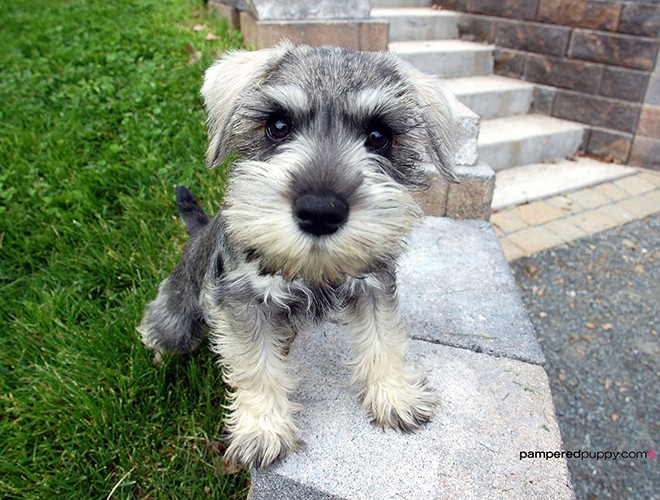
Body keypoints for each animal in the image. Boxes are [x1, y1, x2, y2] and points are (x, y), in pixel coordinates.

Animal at [138, 43, 458, 468]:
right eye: (277, 126)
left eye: (379, 136)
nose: (320, 210)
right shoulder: (243, 304)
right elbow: (255, 365)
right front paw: (262, 430)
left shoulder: (373, 285)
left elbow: (384, 337)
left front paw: (395, 395)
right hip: (179, 311)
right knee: (160, 326)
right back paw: (156, 354)